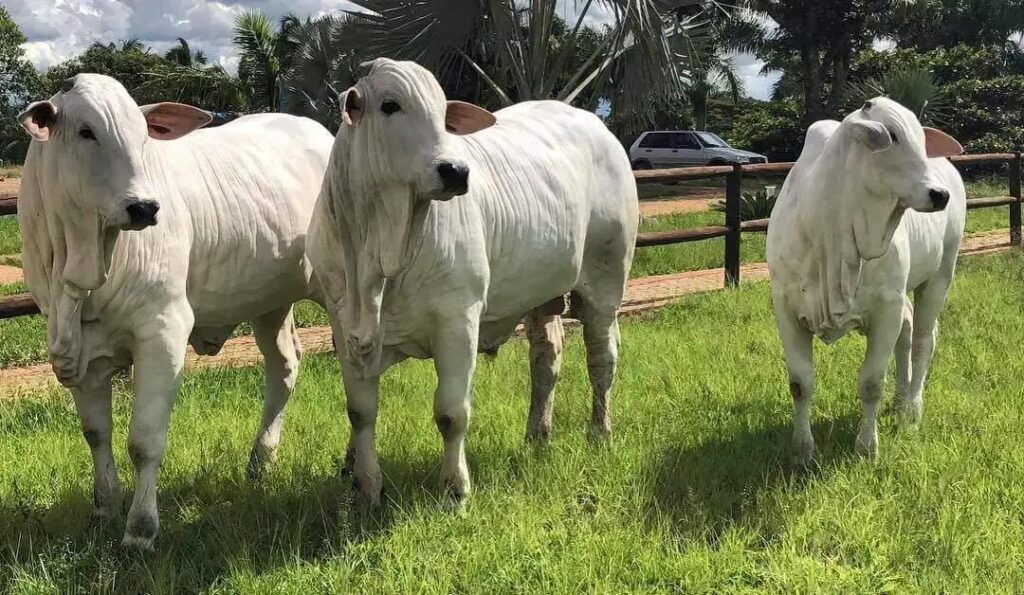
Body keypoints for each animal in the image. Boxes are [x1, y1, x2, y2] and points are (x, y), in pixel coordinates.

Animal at [16, 74, 333, 548]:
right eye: (86, 132)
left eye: (143, 135)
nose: (144, 207)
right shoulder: (79, 350)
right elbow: (96, 434)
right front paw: (104, 508)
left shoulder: (162, 332)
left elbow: (144, 442)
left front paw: (140, 530)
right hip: (271, 302)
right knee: (286, 364)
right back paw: (260, 461)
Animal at [305, 59, 638, 505]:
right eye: (390, 105)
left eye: (443, 112)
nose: (456, 171)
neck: (375, 253)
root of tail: (596, 125)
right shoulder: (343, 327)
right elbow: (361, 413)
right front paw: (366, 489)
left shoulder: (457, 320)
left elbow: (451, 412)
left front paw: (455, 489)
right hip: (540, 297)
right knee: (546, 360)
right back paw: (537, 436)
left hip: (606, 282)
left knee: (602, 359)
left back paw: (599, 433)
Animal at [770, 96, 966, 458]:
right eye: (894, 137)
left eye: (921, 140)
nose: (939, 194)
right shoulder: (785, 308)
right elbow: (800, 383)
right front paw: (802, 449)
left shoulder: (885, 307)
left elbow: (872, 382)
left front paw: (867, 447)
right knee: (908, 333)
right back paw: (900, 403)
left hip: (941, 275)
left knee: (922, 341)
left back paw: (912, 410)